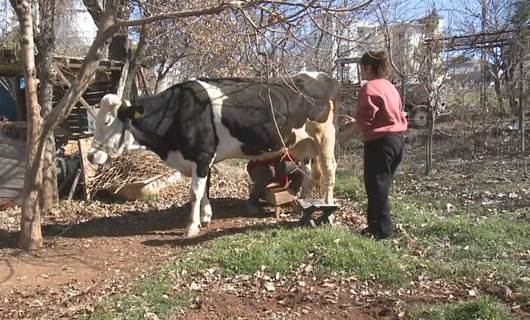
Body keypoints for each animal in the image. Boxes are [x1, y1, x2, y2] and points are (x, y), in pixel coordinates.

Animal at [85, 72, 334, 238]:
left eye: (108, 121)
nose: (90, 155)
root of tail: (316, 75)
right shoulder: (198, 160)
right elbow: (204, 189)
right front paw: (205, 217)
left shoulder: (202, 155)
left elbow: (195, 192)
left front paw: (191, 227)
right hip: (302, 145)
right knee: (309, 172)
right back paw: (304, 203)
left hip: (324, 137)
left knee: (329, 173)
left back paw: (328, 210)